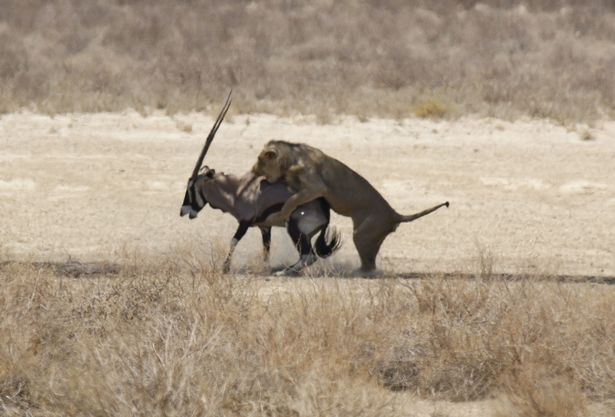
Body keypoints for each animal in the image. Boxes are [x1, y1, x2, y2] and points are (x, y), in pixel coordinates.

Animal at [253, 140, 450, 272]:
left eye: (260, 160)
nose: (254, 171)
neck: (292, 158)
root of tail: (394, 213)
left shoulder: (316, 187)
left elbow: (292, 200)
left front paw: (280, 214)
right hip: (370, 236)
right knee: (371, 261)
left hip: (362, 234)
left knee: (369, 265)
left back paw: (358, 272)